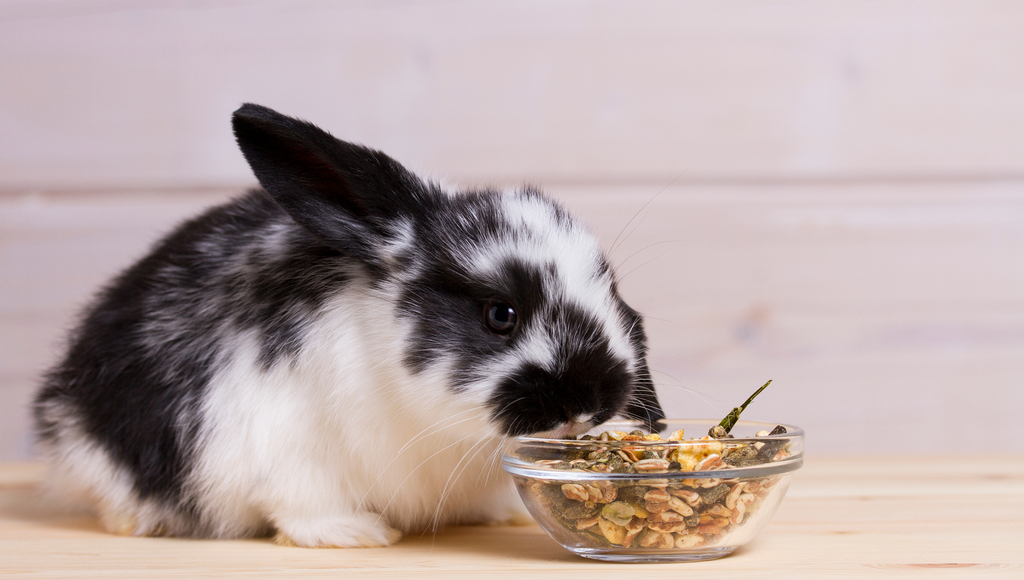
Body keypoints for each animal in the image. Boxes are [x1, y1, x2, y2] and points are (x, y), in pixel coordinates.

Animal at [33, 103, 665, 548]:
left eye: (612, 288)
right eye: (500, 314)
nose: (590, 402)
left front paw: (502, 514)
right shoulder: (279, 444)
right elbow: (301, 506)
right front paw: (356, 534)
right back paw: (142, 521)